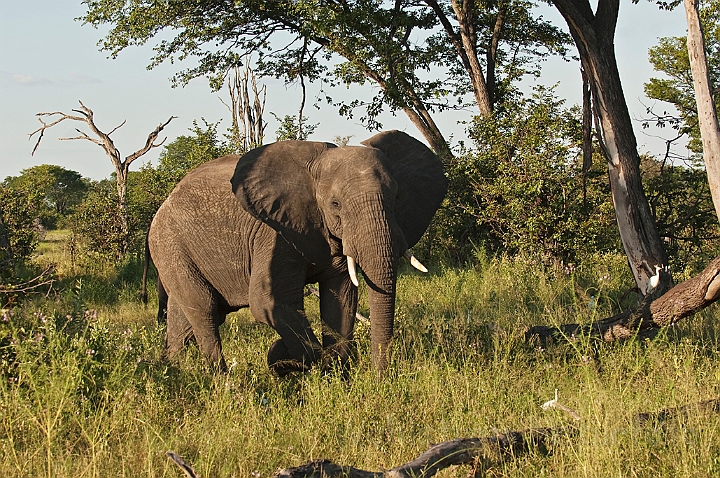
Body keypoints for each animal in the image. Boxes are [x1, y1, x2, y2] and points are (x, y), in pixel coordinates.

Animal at [149, 130, 448, 374]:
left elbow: (341, 300)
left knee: (183, 323)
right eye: (335, 204)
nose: (380, 378)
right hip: (170, 246)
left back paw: (169, 371)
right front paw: (286, 358)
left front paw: (337, 379)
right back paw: (222, 382)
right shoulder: (274, 233)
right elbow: (269, 303)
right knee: (204, 312)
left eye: (396, 198)